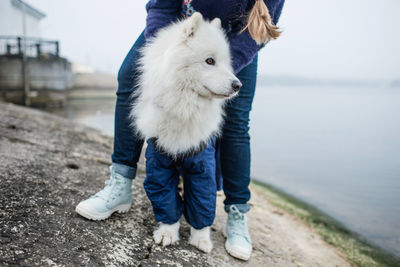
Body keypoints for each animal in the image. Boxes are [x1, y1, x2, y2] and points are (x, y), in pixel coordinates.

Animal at [131, 11, 241, 252]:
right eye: (210, 61)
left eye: (226, 63)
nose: (238, 85)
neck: (184, 107)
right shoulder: (160, 162)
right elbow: (167, 201)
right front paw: (167, 233)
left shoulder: (203, 167)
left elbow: (202, 205)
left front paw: (201, 239)